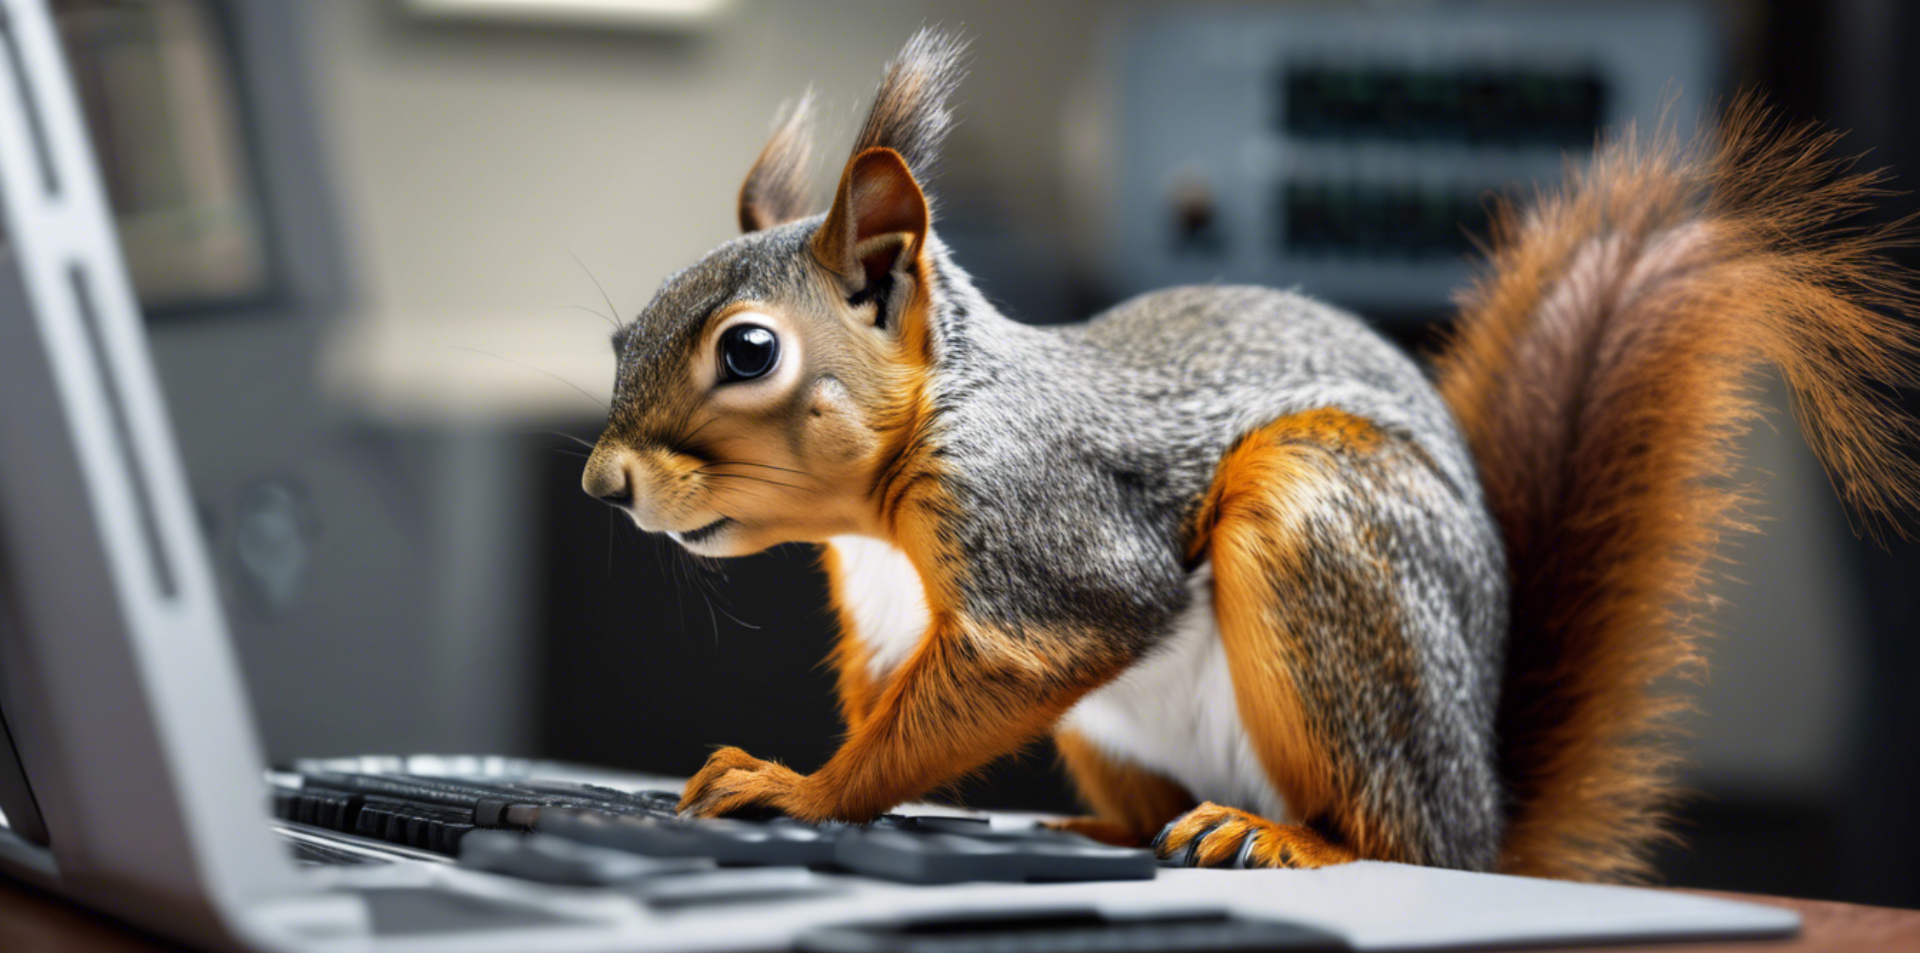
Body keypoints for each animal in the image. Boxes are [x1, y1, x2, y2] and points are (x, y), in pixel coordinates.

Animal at [580, 30, 1920, 881]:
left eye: (749, 350)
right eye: (620, 329)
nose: (603, 483)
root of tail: (1486, 816)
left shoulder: (1047, 539)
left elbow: (1013, 661)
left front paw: (798, 790)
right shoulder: (888, 612)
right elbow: (895, 698)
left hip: (1322, 528)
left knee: (1401, 836)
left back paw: (1287, 839)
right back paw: (1100, 835)